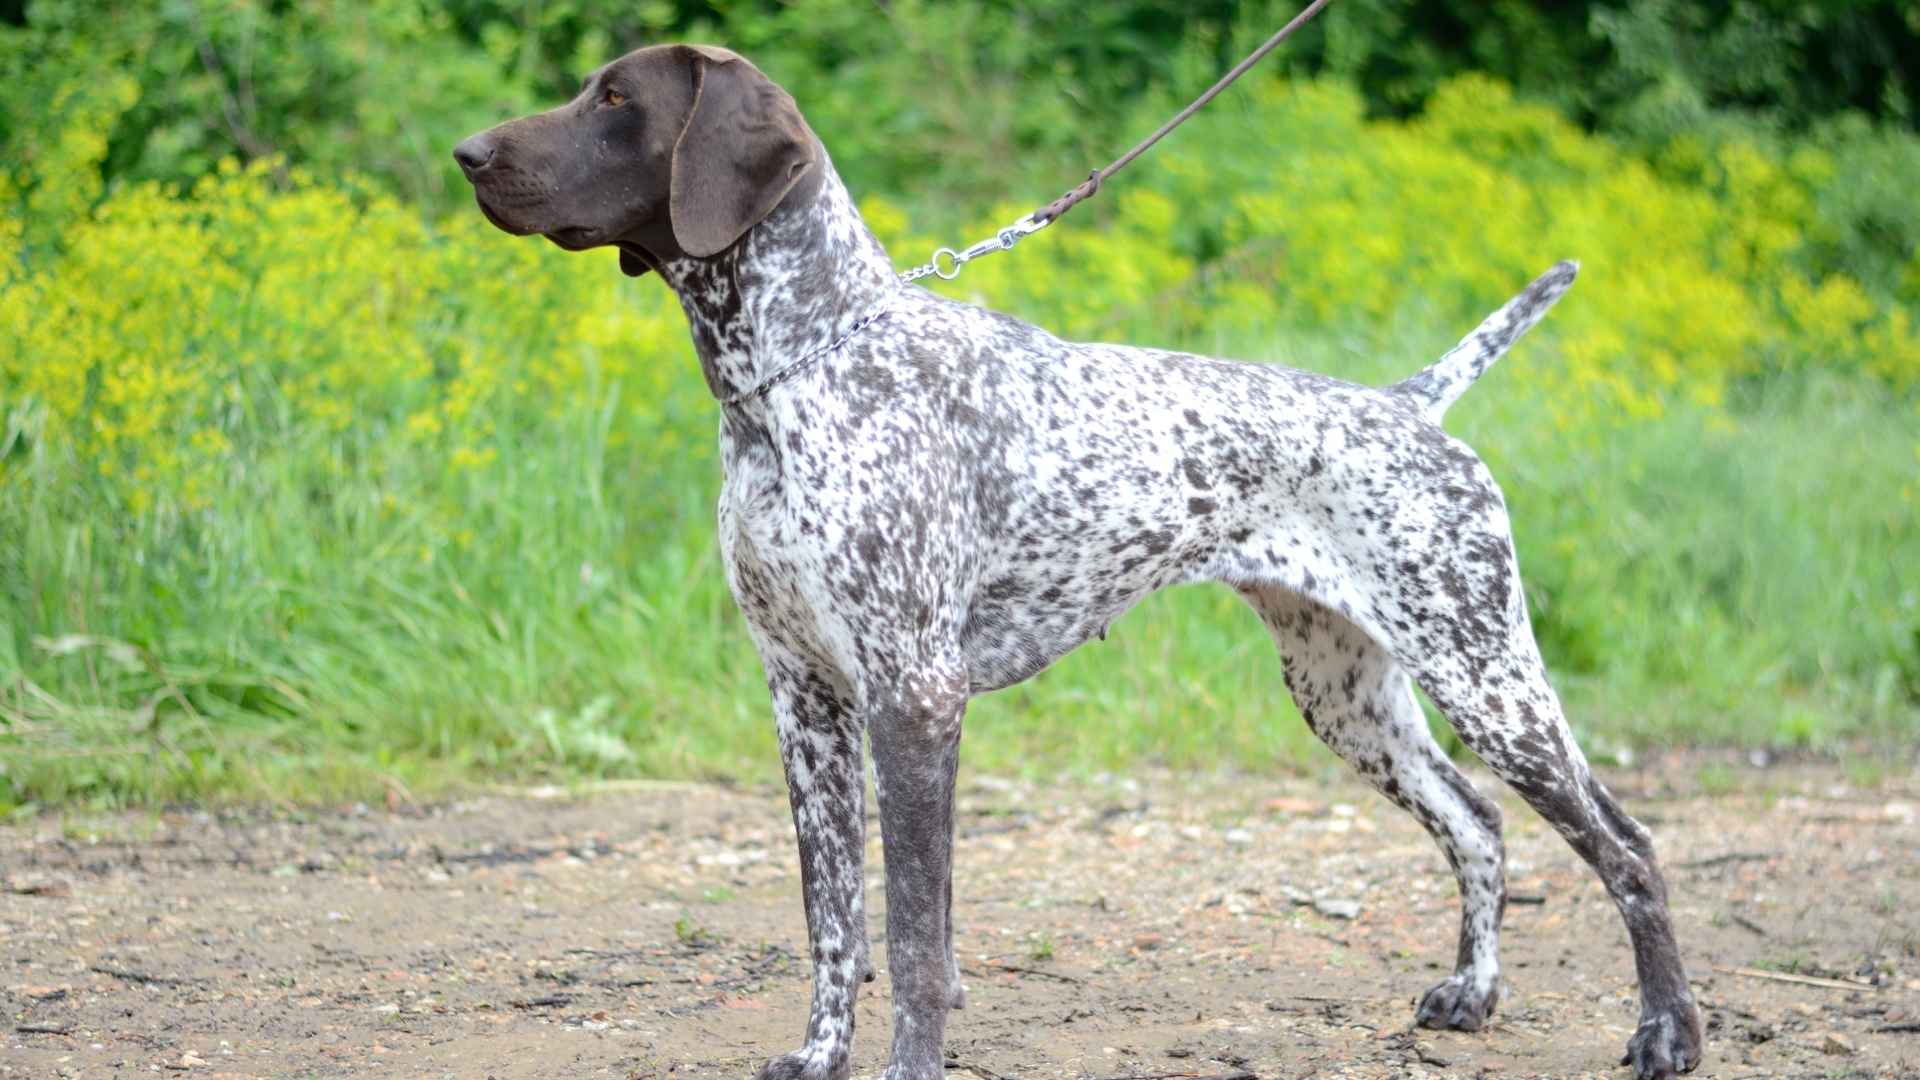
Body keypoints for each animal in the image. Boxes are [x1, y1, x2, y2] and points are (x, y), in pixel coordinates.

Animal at [456, 42, 1704, 1076]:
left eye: (616, 102)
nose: (468, 153)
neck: (798, 373)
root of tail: (1411, 407)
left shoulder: (914, 695)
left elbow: (913, 938)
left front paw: (910, 1067)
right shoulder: (804, 698)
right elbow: (834, 918)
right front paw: (819, 1057)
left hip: (1487, 677)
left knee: (1630, 847)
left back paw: (1668, 1036)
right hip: (1350, 695)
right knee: (1477, 821)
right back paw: (1473, 995)